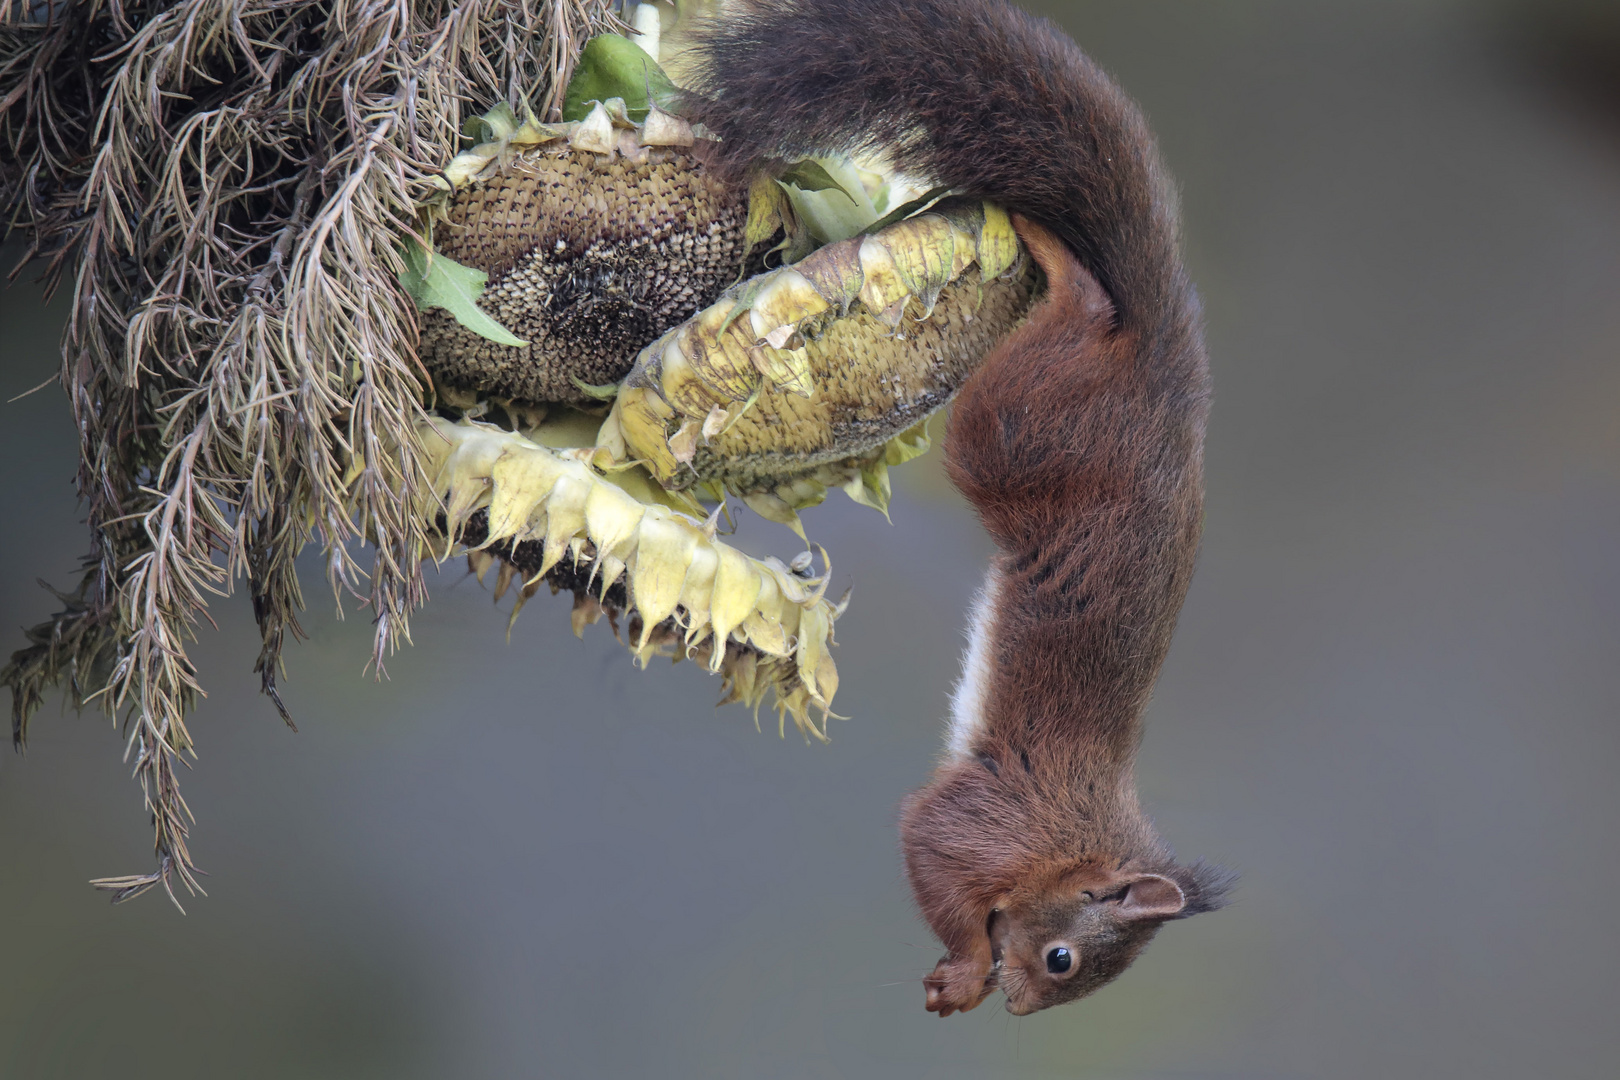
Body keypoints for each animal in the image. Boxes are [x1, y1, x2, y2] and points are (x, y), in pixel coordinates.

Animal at [680, 0, 1224, 1016]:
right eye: (1064, 960)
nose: (1019, 1007)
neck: (1070, 837)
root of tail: (1169, 364)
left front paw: (961, 982)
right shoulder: (983, 818)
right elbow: (928, 844)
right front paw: (970, 969)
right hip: (1017, 429)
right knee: (1074, 313)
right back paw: (1060, 255)